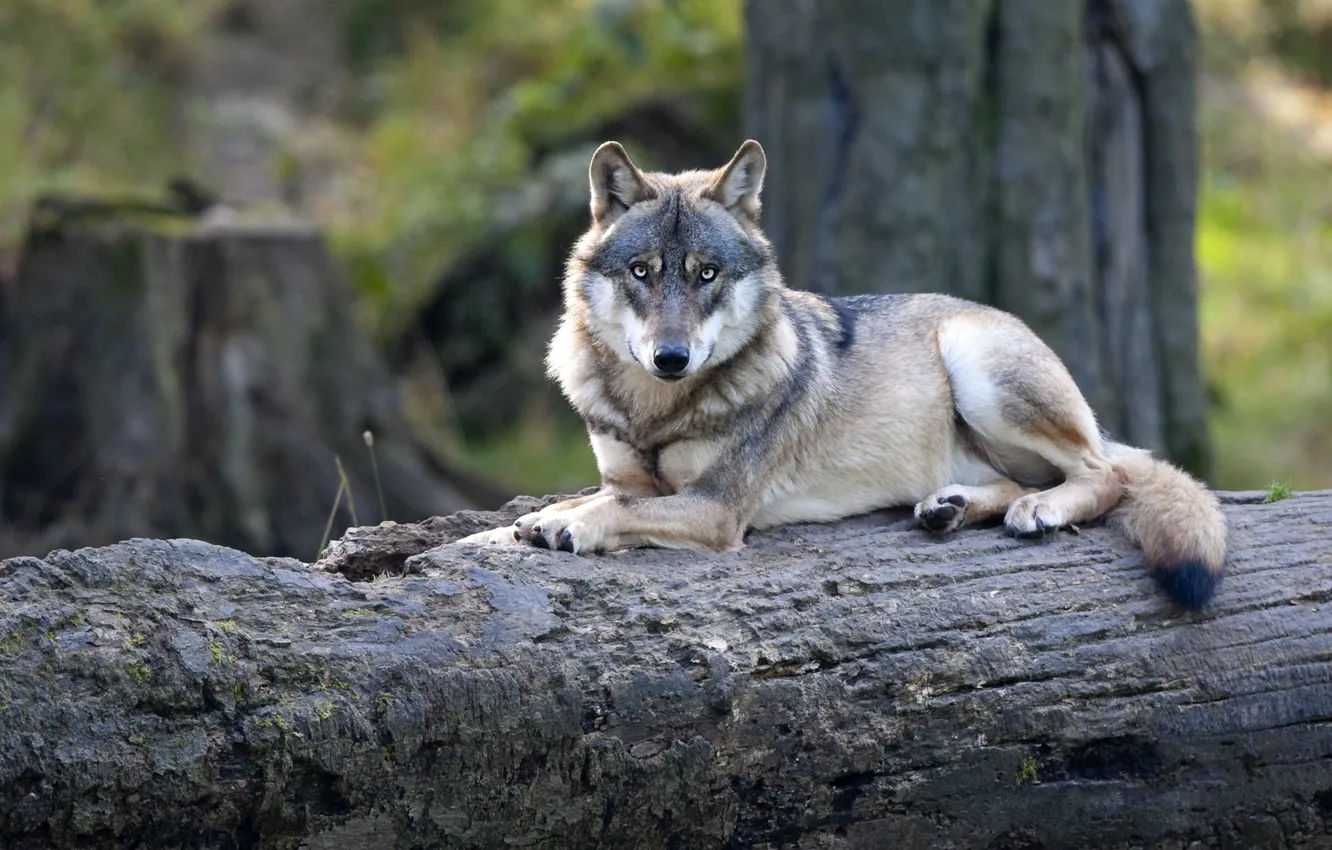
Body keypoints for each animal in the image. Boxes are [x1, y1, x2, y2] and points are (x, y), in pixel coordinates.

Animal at [455, 139, 1228, 609]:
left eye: (706, 274)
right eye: (643, 273)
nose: (670, 358)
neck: (655, 409)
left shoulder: (716, 509)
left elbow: (610, 510)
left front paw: (567, 527)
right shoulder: (627, 475)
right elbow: (556, 509)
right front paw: (508, 531)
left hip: (979, 366)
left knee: (1108, 474)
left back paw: (1037, 510)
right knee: (1025, 481)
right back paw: (949, 508)